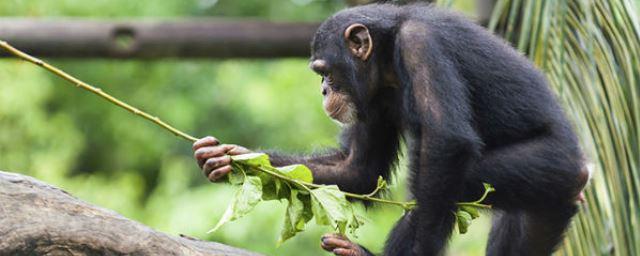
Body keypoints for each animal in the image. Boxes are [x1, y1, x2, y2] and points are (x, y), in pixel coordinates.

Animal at [194, 2, 592, 256]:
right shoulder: (370, 100)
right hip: (547, 207)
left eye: (325, 71)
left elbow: (447, 141)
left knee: (446, 181)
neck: (386, 57)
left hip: (550, 164)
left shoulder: (421, 43)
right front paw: (230, 157)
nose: (322, 90)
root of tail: (584, 170)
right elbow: (358, 169)